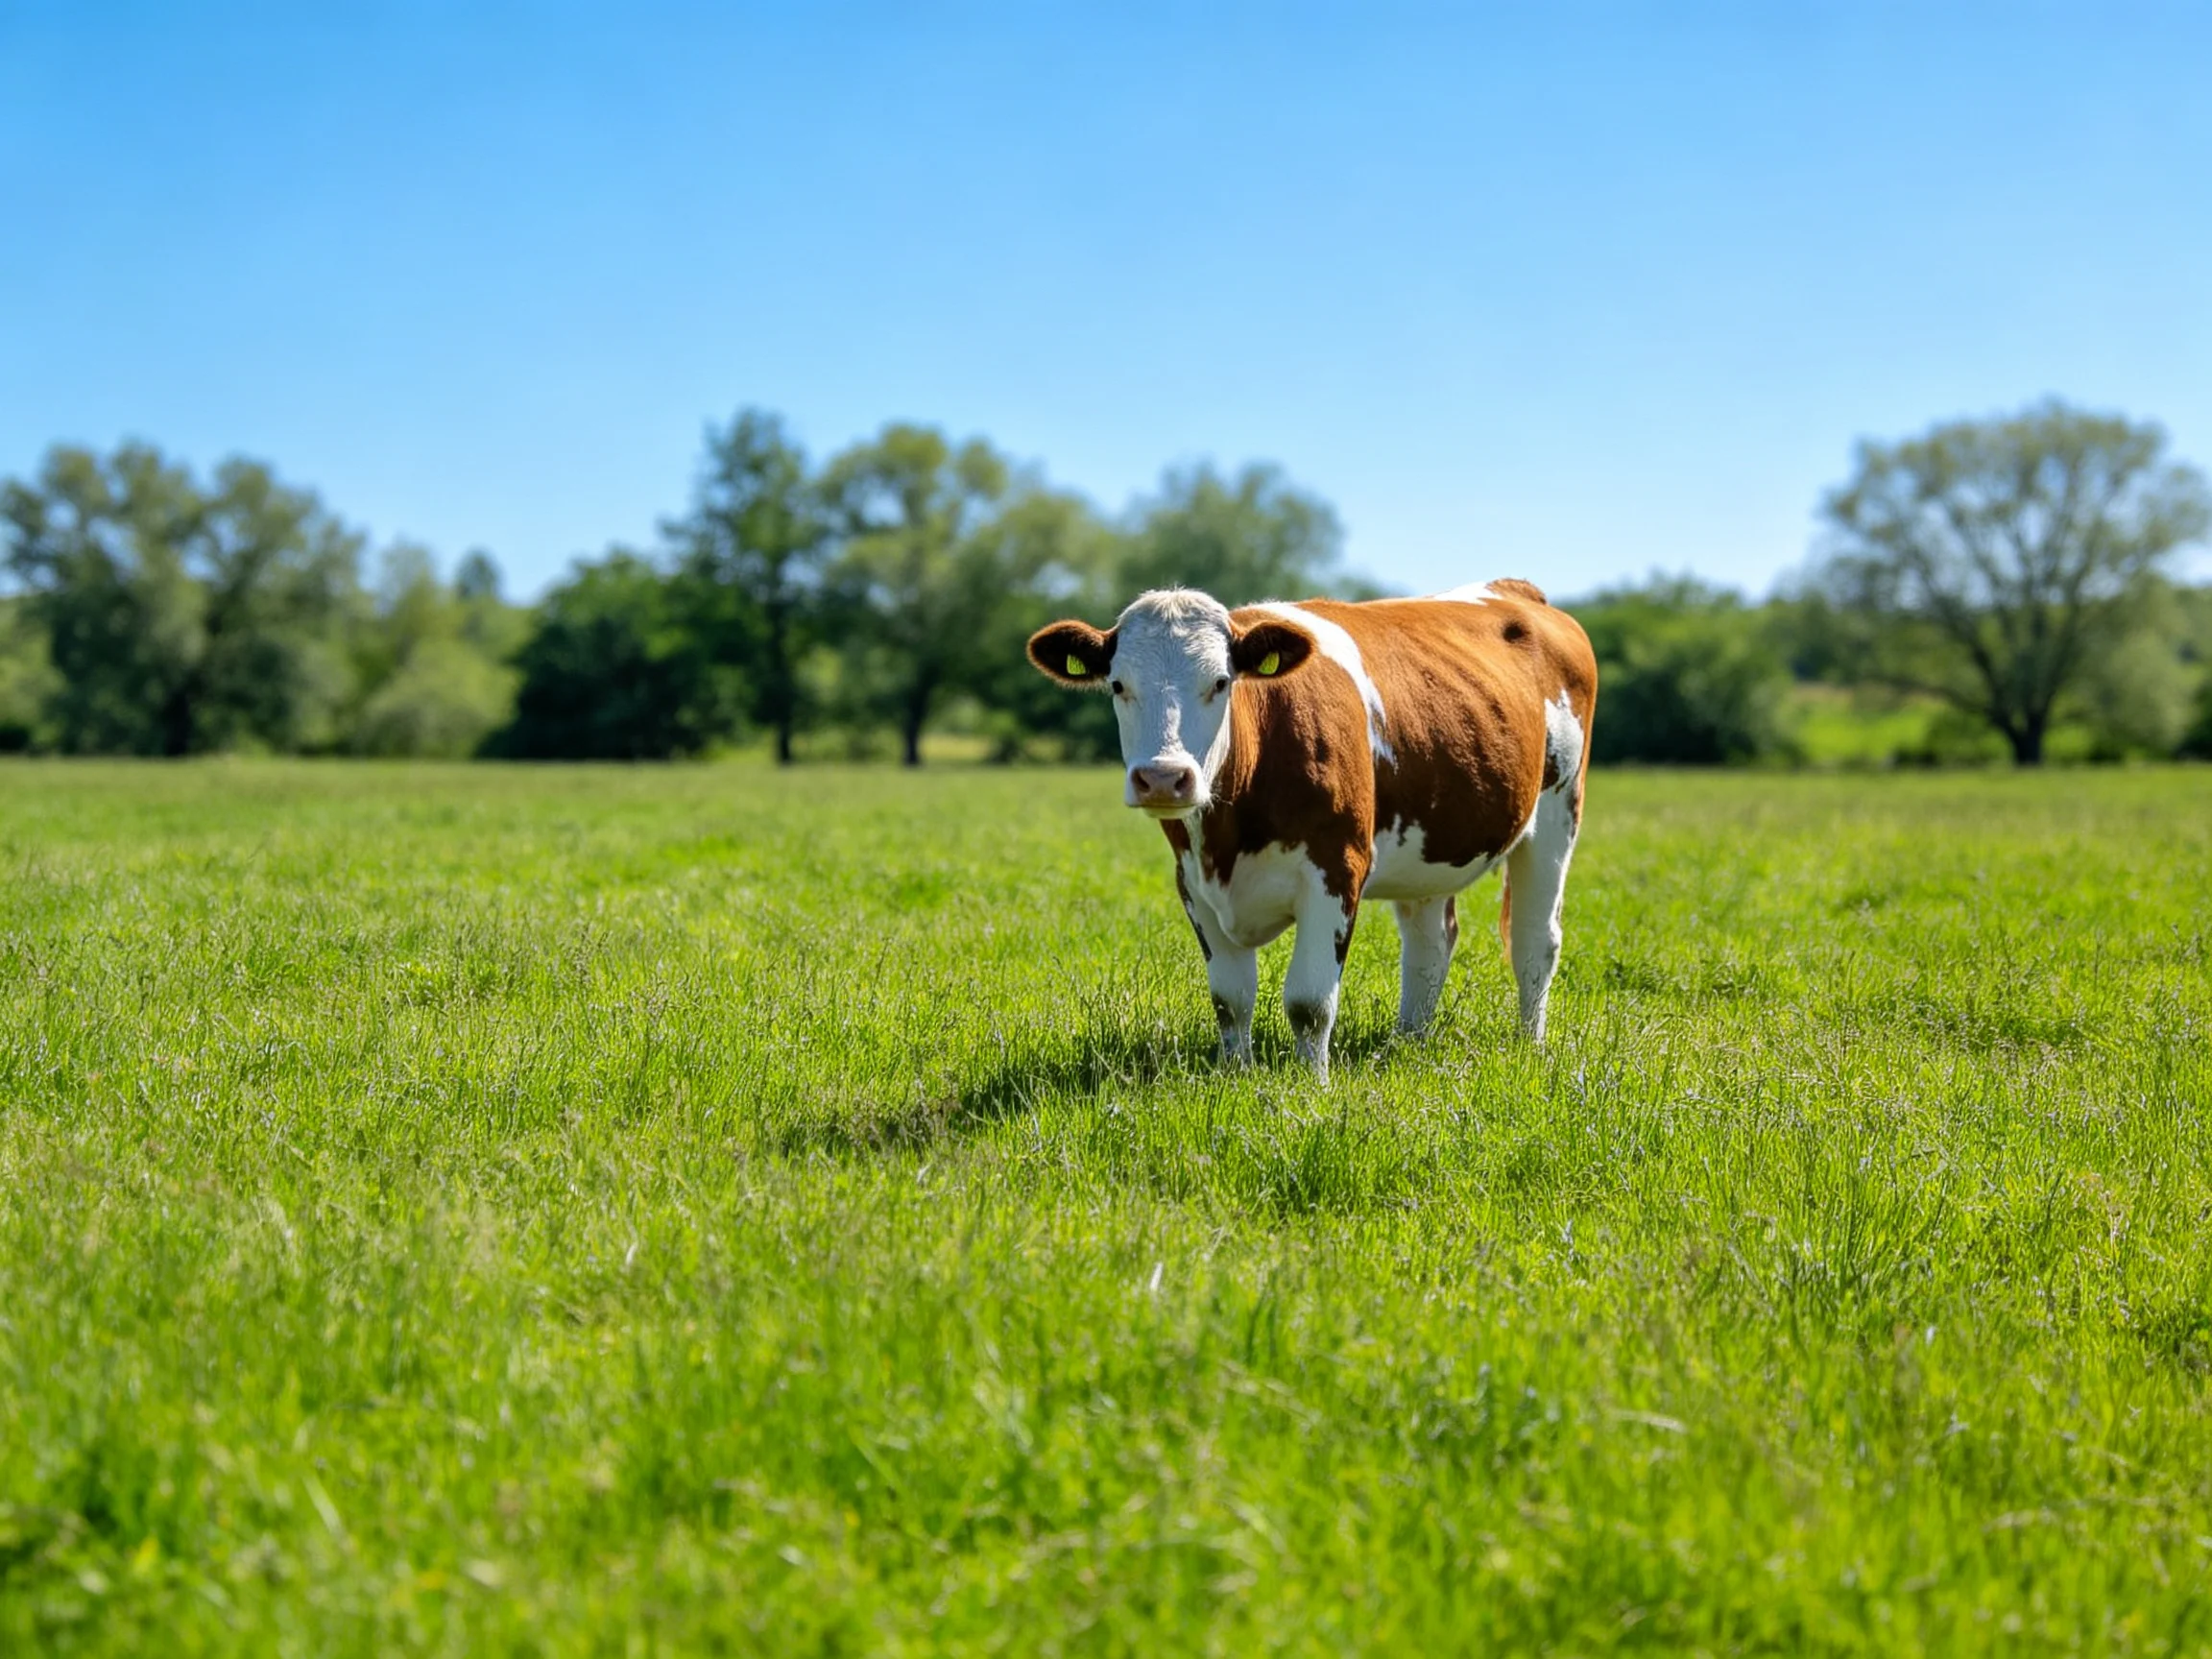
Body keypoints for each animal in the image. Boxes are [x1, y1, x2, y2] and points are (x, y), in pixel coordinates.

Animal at [1026, 581, 1597, 1082]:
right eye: (1118, 685)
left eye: (1220, 682)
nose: (1164, 778)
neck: (1230, 834)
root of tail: (1515, 589)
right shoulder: (1192, 881)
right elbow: (1230, 999)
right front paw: (1236, 1077)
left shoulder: (1336, 869)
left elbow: (1309, 1001)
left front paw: (1312, 1086)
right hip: (1431, 844)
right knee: (1430, 943)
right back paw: (1406, 1043)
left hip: (1556, 815)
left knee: (1535, 941)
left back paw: (1530, 1047)